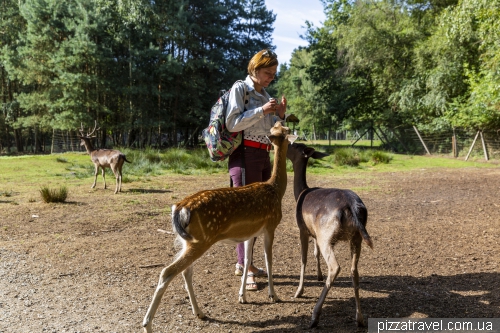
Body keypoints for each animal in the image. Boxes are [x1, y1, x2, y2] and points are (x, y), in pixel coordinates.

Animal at [142, 122, 296, 332]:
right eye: (284, 129)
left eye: (278, 127)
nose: (283, 122)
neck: (276, 189)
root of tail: (179, 208)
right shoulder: (270, 226)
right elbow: (269, 260)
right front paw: (274, 296)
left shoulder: (250, 232)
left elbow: (247, 260)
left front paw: (242, 296)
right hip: (201, 239)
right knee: (168, 272)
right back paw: (147, 324)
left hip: (187, 240)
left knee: (186, 271)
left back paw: (200, 312)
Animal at [288, 142, 374, 326]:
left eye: (295, 146)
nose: (288, 142)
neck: (301, 193)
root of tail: (352, 206)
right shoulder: (314, 234)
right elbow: (315, 253)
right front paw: (318, 276)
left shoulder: (302, 229)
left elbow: (303, 258)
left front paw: (298, 292)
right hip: (356, 238)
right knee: (354, 271)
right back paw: (360, 318)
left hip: (326, 237)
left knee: (335, 267)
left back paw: (315, 316)